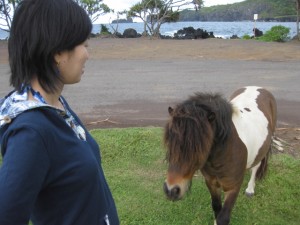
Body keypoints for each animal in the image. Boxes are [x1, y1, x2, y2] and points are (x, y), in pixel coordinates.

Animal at [164, 86, 276, 225]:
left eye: (199, 146)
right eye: (170, 141)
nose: (171, 190)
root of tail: (258, 87)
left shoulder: (233, 187)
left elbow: (223, 217)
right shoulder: (211, 183)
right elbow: (217, 208)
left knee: (256, 167)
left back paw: (250, 189)